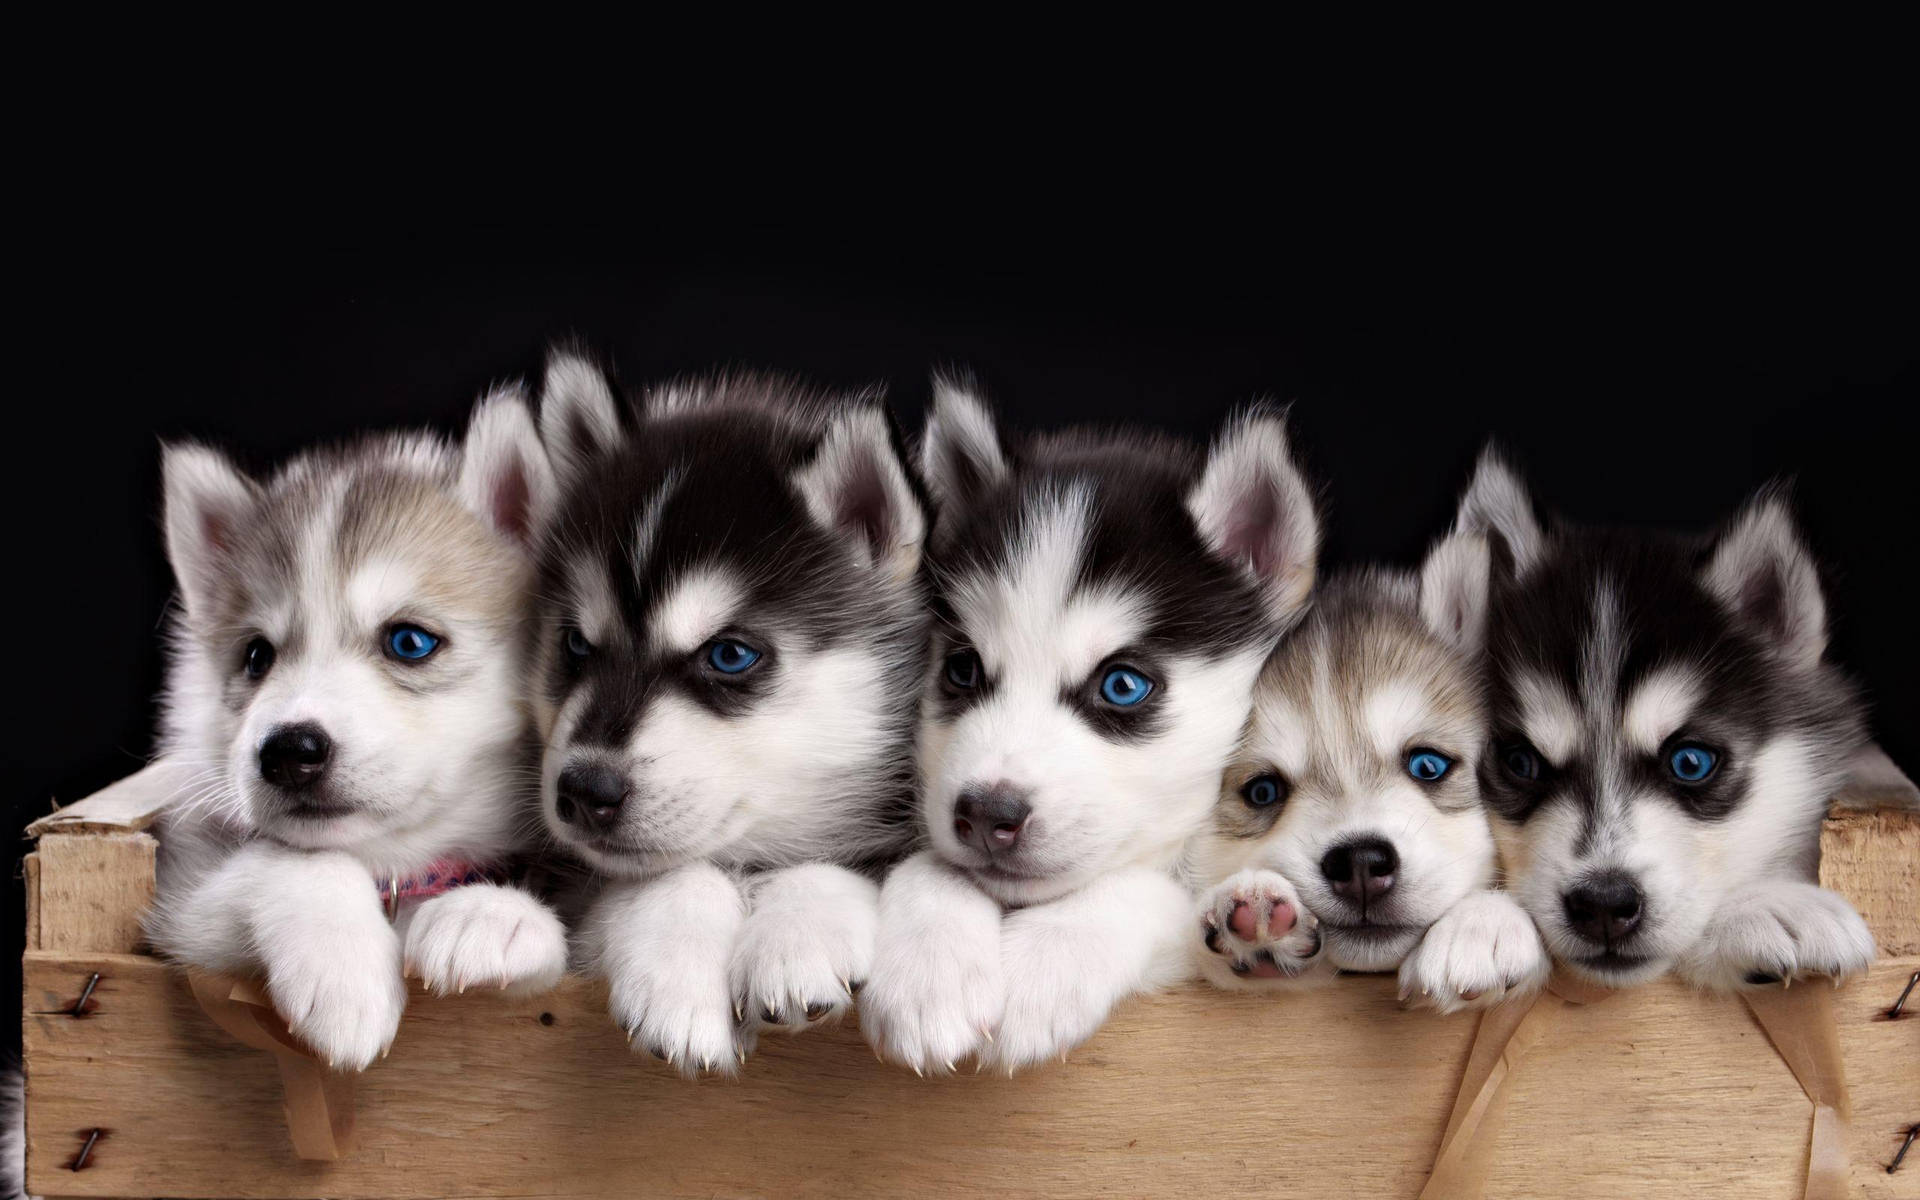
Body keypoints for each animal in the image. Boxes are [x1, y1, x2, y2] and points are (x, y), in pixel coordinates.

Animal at [144, 391, 564, 1067]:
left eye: (410, 641)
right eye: (257, 657)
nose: (289, 751)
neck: (394, 873)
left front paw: (490, 916)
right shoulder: (182, 910)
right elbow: (291, 860)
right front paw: (343, 971)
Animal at [529, 351, 925, 1075]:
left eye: (731, 654)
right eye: (575, 644)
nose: (584, 790)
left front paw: (799, 938)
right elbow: (674, 872)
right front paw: (677, 980)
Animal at [867, 378, 1328, 1075]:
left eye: (1122, 685)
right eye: (962, 669)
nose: (985, 814)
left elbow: (1140, 888)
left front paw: (1042, 967)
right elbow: (937, 864)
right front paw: (928, 965)